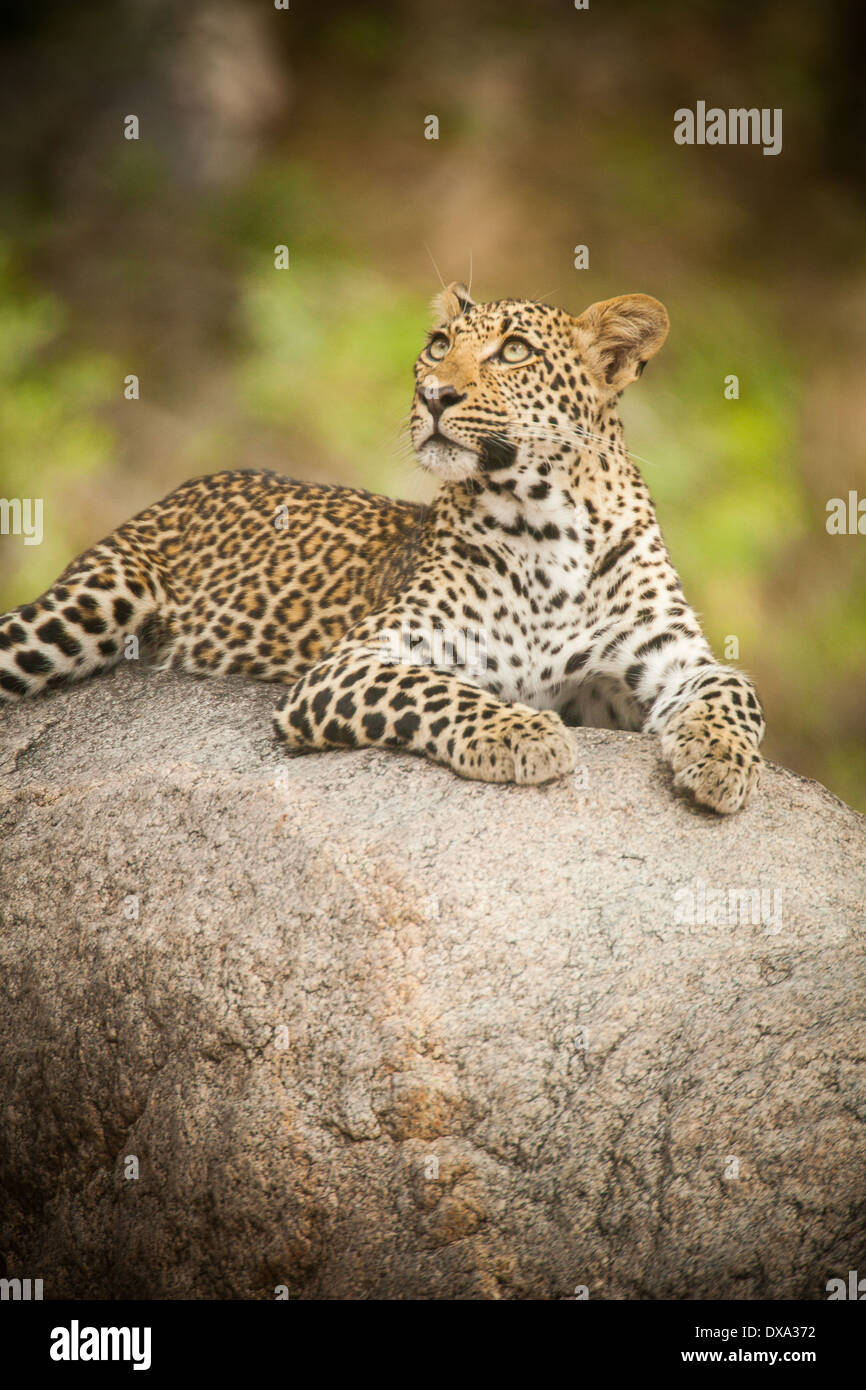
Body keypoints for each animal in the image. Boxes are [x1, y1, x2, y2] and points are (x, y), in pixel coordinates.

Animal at [0, 284, 767, 811]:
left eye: (515, 351)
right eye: (438, 343)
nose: (434, 394)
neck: (549, 522)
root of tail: (189, 485)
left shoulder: (662, 659)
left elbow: (736, 689)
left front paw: (721, 762)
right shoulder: (355, 662)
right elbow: (440, 690)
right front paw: (525, 735)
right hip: (93, 602)